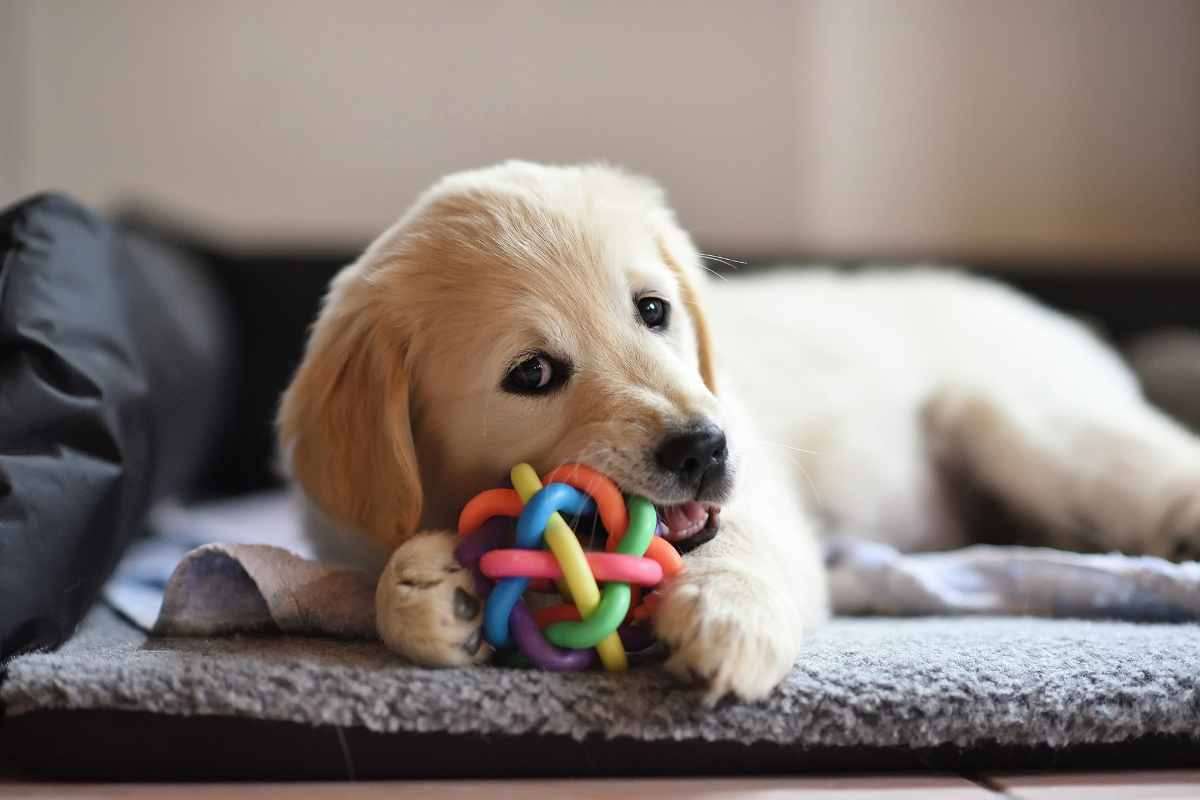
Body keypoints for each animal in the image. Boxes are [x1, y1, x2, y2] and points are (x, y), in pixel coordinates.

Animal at [278, 160, 1200, 700]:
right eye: (531, 374)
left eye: (654, 310)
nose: (703, 448)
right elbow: (380, 575)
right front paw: (427, 591)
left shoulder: (760, 495)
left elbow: (742, 546)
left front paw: (728, 617)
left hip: (1020, 424)